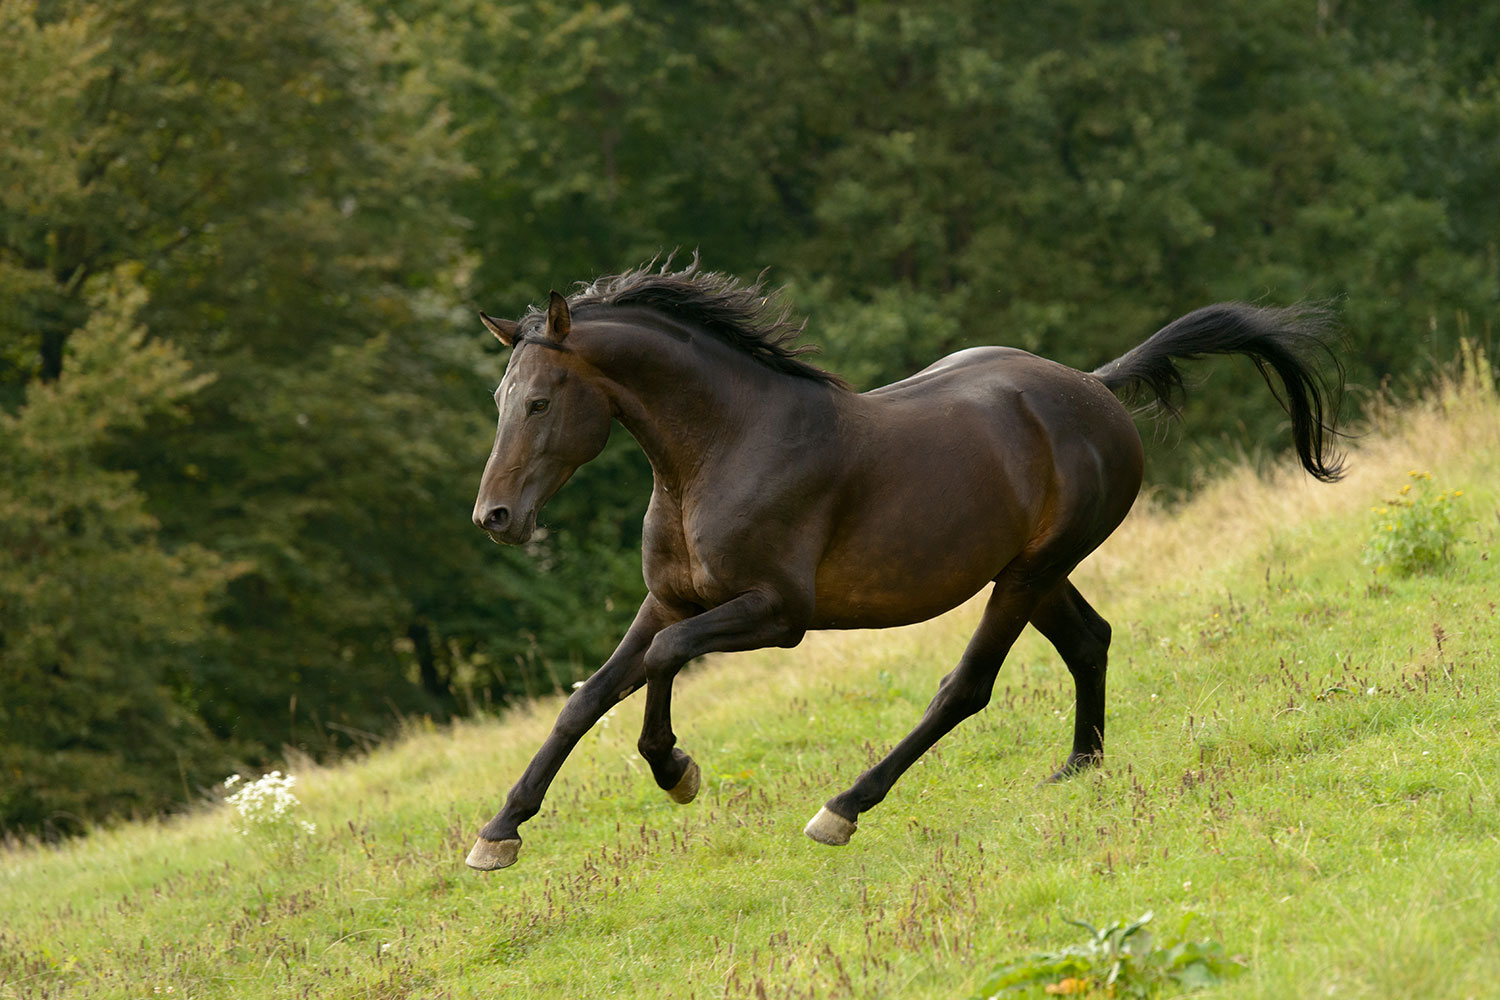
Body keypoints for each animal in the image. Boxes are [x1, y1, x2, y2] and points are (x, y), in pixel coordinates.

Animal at [464, 259, 1342, 871]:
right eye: (500, 401)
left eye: (539, 402)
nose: (495, 518)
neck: (719, 451)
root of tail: (1094, 387)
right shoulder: (669, 600)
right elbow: (587, 699)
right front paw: (499, 833)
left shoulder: (777, 615)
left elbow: (662, 662)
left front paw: (677, 770)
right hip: (1032, 571)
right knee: (1089, 640)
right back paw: (1079, 767)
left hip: (1025, 576)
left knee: (968, 687)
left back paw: (844, 807)